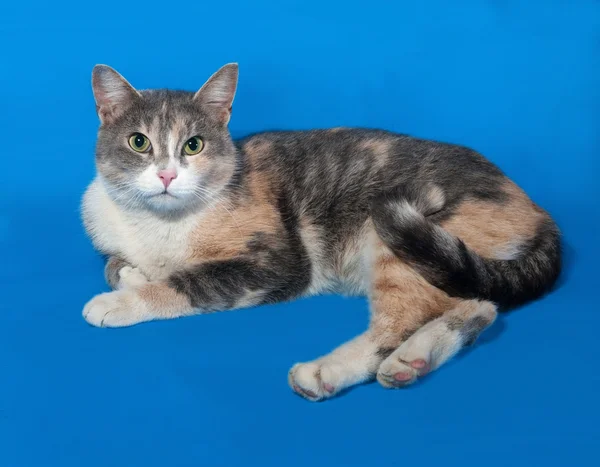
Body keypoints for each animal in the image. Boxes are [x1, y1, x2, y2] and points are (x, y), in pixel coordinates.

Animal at [82, 63, 560, 402]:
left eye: (193, 145)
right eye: (139, 142)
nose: (166, 175)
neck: (162, 225)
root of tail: (537, 211)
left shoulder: (278, 265)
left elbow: (191, 283)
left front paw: (120, 302)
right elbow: (115, 264)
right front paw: (133, 275)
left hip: (399, 237)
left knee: (397, 325)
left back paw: (327, 372)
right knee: (480, 304)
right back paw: (413, 361)